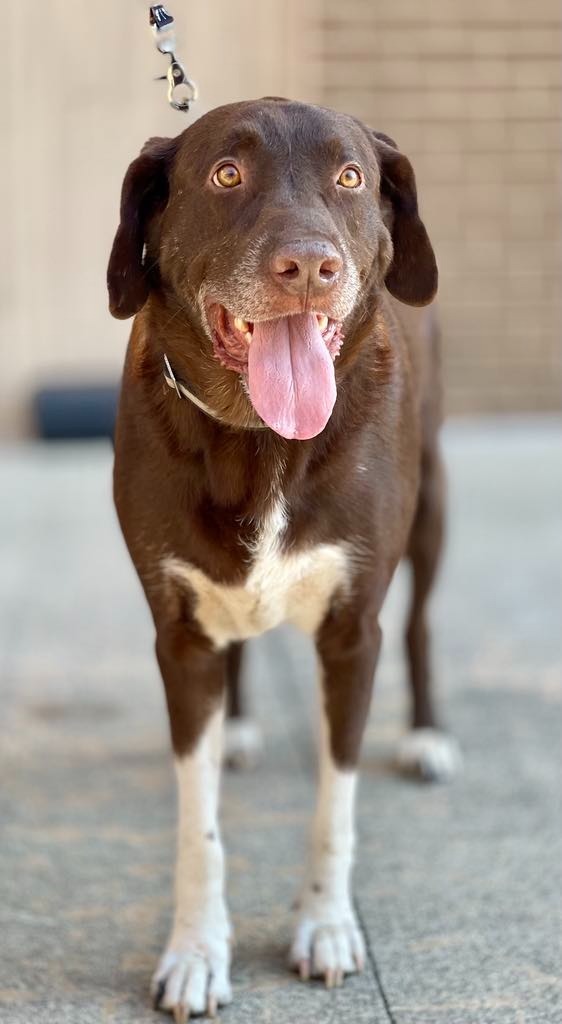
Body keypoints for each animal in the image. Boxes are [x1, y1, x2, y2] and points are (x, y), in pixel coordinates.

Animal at [106, 96, 460, 1015]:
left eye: (351, 177)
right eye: (226, 174)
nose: (308, 267)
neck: (261, 438)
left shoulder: (352, 631)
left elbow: (334, 806)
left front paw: (325, 925)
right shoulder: (178, 635)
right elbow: (199, 829)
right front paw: (196, 952)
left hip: (434, 502)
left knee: (423, 623)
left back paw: (427, 734)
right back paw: (236, 726)